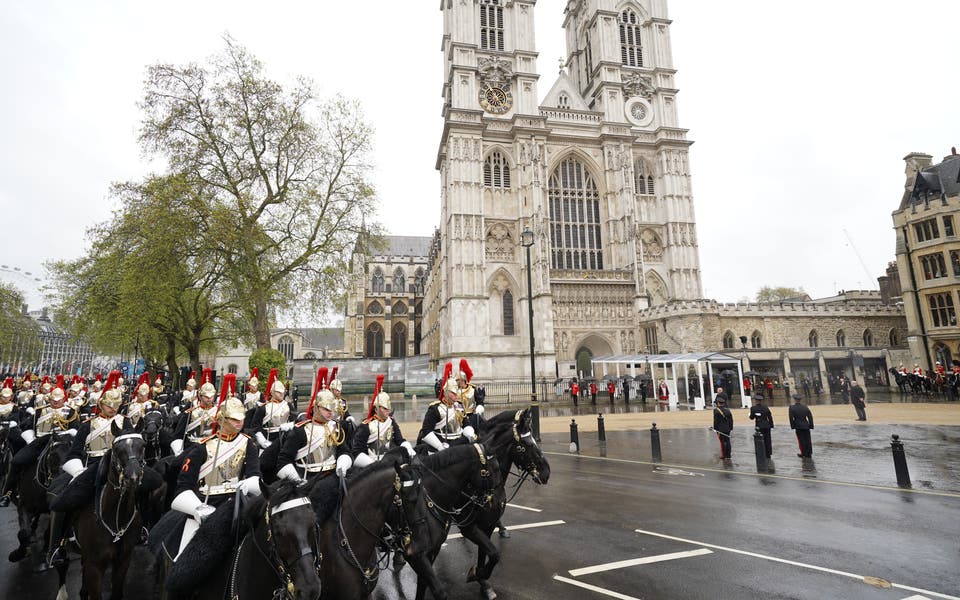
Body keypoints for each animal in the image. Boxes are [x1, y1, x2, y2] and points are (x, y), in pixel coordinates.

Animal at [55, 422, 146, 600]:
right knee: (62, 566)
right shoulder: (95, 566)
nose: (132, 477)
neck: (116, 519)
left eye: (142, 446)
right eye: (117, 449)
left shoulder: (123, 561)